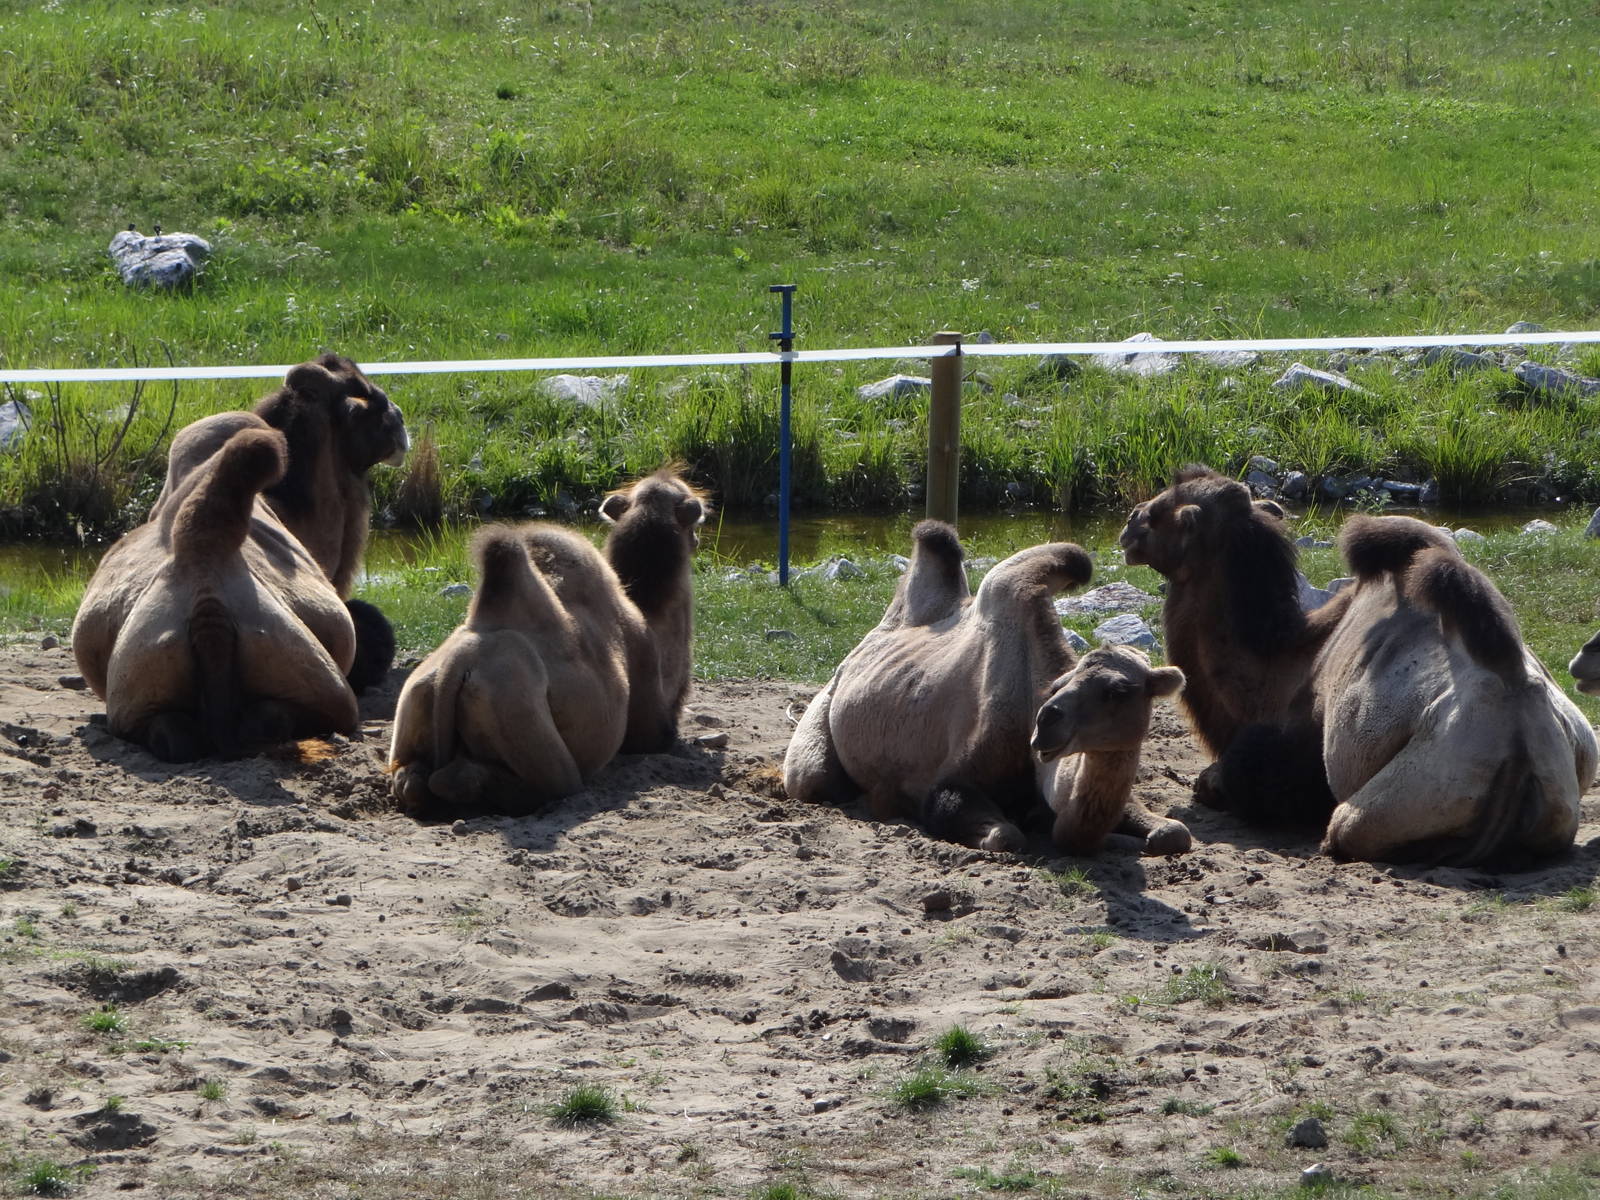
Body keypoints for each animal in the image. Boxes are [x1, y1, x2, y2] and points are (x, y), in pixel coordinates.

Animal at [1120, 465, 1597, 865]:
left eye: (1161, 511)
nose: (1129, 521)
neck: (1286, 665)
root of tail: (1521, 742)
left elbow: (1221, 780)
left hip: (1403, 795)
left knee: (1347, 827)